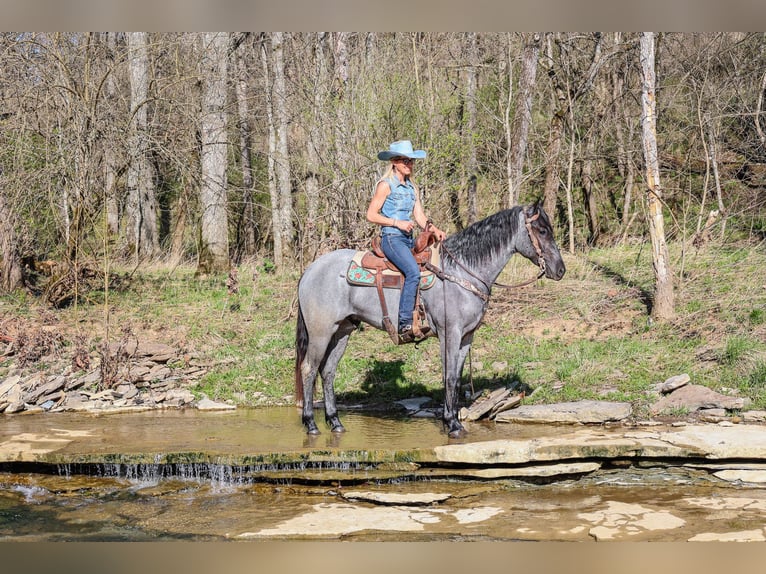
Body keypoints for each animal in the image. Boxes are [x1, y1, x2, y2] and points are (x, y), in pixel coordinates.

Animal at [296, 205, 568, 438]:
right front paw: (452, 425)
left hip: (342, 330)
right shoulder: (450, 333)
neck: (461, 271)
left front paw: (454, 421)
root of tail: (310, 270)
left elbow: (456, 379)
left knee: (328, 371)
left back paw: (335, 422)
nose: (560, 270)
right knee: (309, 369)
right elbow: (448, 377)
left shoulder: (466, 337)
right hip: (321, 332)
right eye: (542, 230)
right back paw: (310, 424)